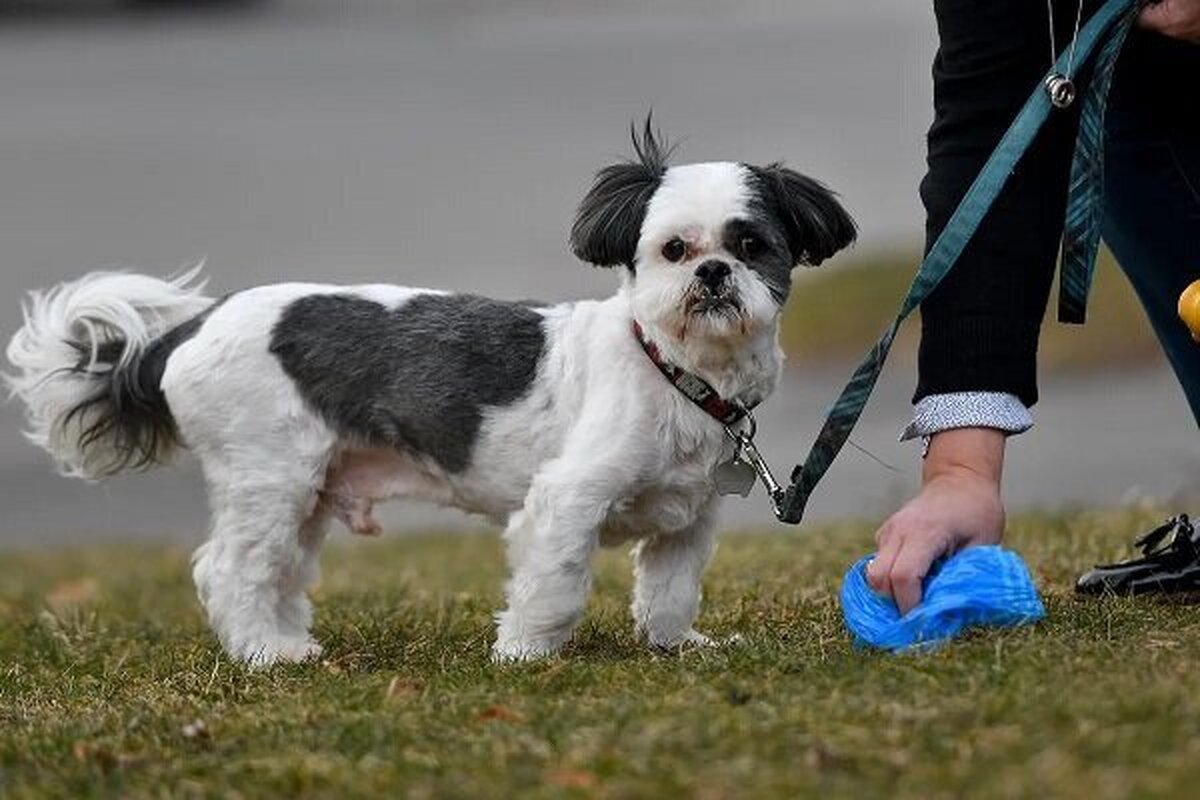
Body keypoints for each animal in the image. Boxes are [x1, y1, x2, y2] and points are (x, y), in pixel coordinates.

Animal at [4, 123, 859, 662]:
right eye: (673, 249)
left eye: (753, 245)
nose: (712, 272)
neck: (676, 372)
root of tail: (192, 328)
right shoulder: (567, 499)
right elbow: (554, 586)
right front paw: (525, 656)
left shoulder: (689, 518)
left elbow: (671, 591)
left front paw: (675, 646)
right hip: (269, 474)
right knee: (231, 569)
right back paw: (264, 655)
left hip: (308, 488)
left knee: (276, 570)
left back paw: (286, 642)